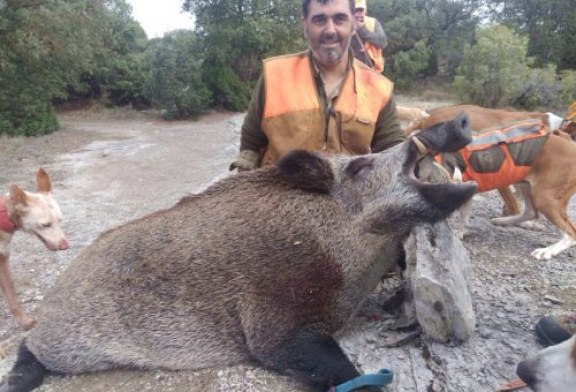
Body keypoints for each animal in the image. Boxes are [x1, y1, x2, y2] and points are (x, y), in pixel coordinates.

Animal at [0, 168, 69, 330]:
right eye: (45, 225)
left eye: (60, 220)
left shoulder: (3, 260)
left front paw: (24, 321)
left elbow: (12, 295)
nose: (65, 246)